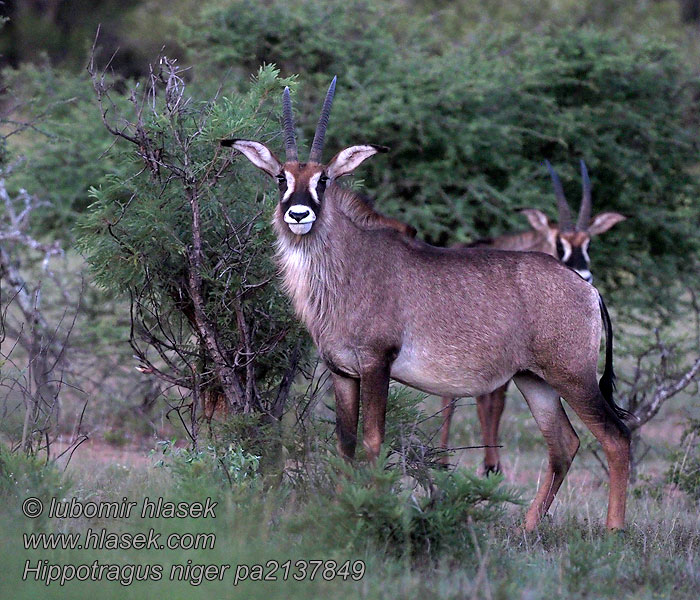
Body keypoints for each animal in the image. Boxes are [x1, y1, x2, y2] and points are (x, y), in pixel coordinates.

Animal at [440, 162, 628, 476]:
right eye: (559, 242)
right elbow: (486, 401)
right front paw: (490, 464)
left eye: (588, 242)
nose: (584, 273)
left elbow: (495, 404)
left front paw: (492, 464)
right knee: (452, 397)